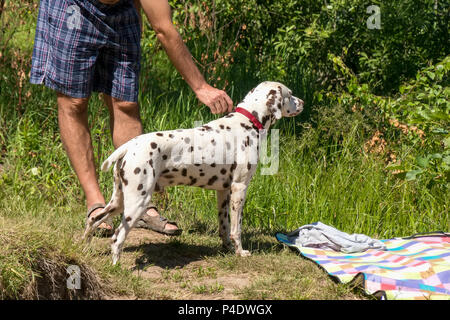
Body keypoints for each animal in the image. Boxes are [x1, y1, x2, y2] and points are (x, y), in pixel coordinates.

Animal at [83, 81, 304, 264]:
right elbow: (236, 229)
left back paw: (84, 248)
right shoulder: (239, 189)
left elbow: (224, 227)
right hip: (137, 203)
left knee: (93, 220)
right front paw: (240, 252)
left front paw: (227, 248)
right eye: (290, 94)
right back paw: (116, 266)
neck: (247, 122)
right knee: (117, 237)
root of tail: (129, 146)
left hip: (118, 201)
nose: (302, 102)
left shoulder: (223, 192)